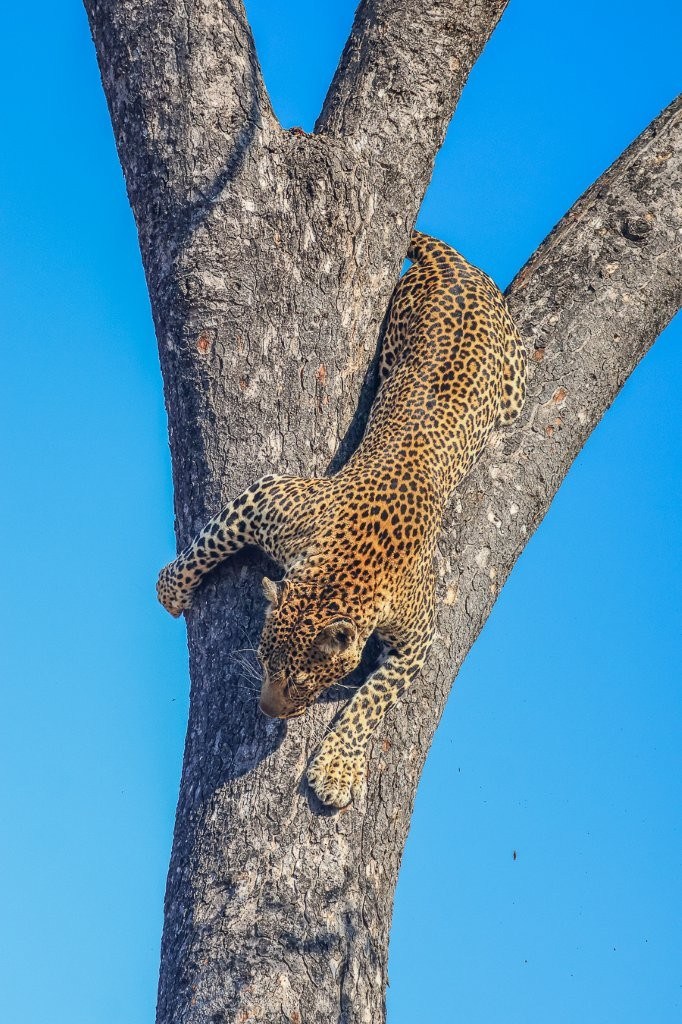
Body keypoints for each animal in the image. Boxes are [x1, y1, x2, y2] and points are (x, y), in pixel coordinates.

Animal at [157, 230, 526, 808]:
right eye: (264, 661)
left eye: (301, 683)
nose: (266, 709)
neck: (346, 568)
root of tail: (456, 264)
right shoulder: (269, 498)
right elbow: (211, 540)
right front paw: (172, 587)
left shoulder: (419, 635)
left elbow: (373, 699)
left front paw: (336, 767)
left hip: (513, 387)